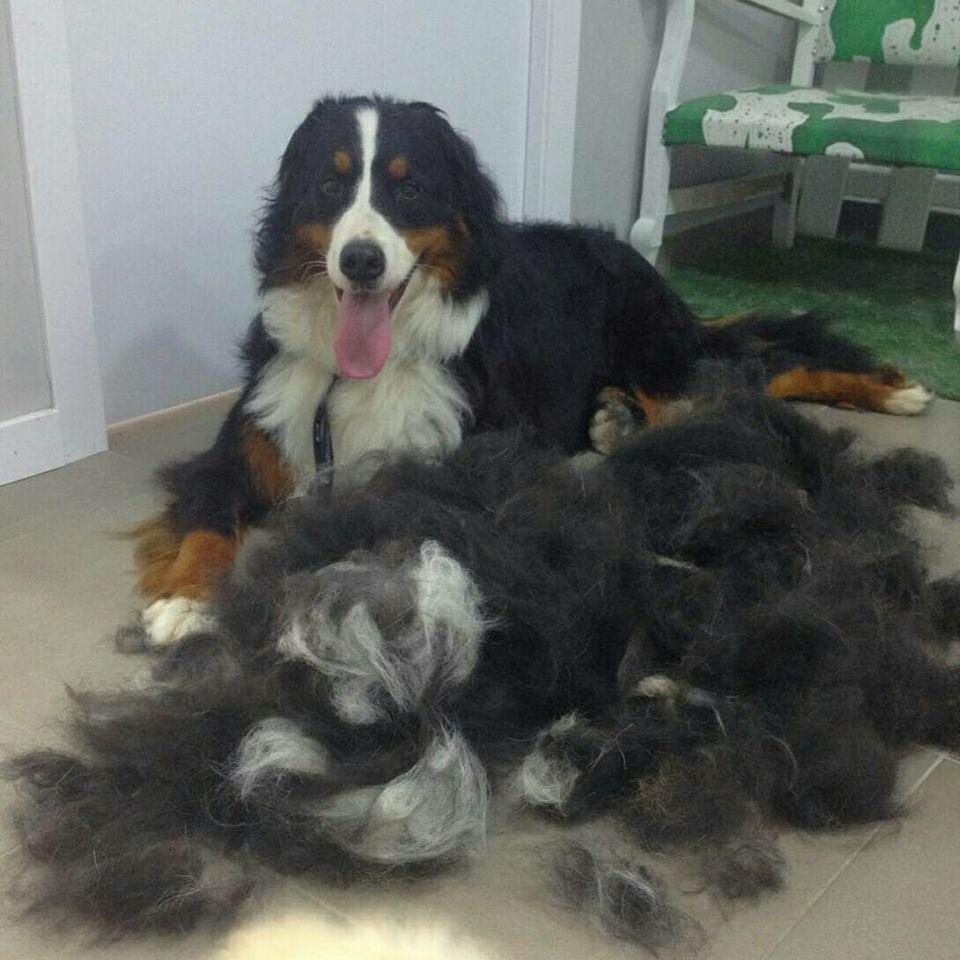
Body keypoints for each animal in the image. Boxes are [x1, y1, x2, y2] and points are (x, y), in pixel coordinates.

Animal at [132, 94, 933, 647]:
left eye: (409, 188)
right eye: (331, 188)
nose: (360, 260)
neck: (354, 372)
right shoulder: (246, 444)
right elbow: (206, 522)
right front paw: (185, 599)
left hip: (659, 353)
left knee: (757, 370)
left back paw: (895, 391)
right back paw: (615, 419)